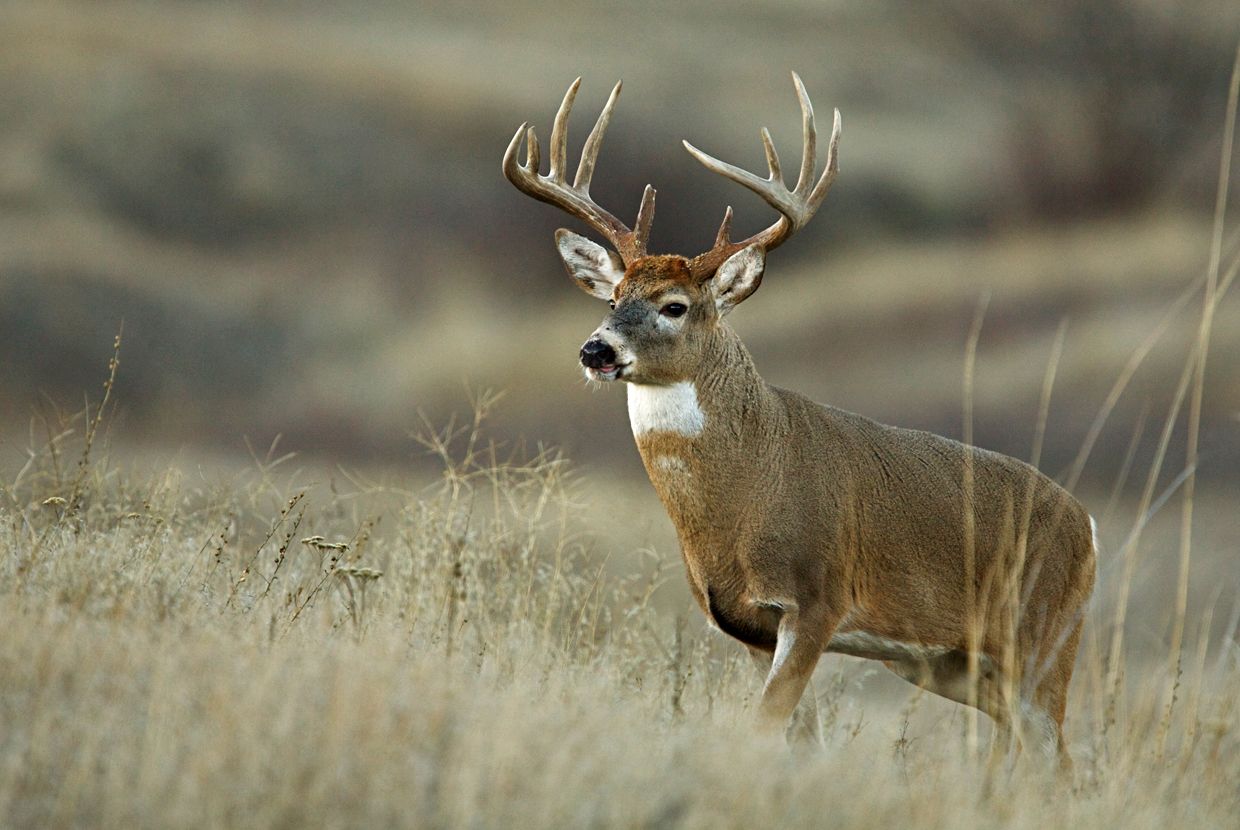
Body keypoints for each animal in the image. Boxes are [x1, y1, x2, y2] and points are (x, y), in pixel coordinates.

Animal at [502, 73, 1097, 767]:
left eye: (674, 306)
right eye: (615, 297)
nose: (596, 350)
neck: (750, 489)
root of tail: (1088, 526)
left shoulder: (819, 598)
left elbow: (763, 726)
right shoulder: (747, 625)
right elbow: (796, 735)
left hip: (1043, 634)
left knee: (1056, 752)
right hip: (952, 663)